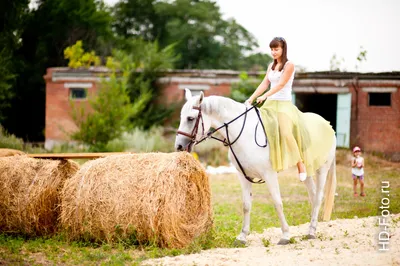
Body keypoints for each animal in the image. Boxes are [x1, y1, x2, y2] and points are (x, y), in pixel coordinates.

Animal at [177, 89, 336, 245]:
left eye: (190, 118)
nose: (179, 146)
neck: (244, 134)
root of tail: (327, 124)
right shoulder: (243, 176)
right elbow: (246, 205)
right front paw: (242, 237)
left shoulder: (269, 175)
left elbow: (277, 203)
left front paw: (285, 235)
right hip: (307, 171)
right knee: (313, 194)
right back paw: (311, 227)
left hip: (322, 169)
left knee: (318, 197)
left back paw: (311, 232)